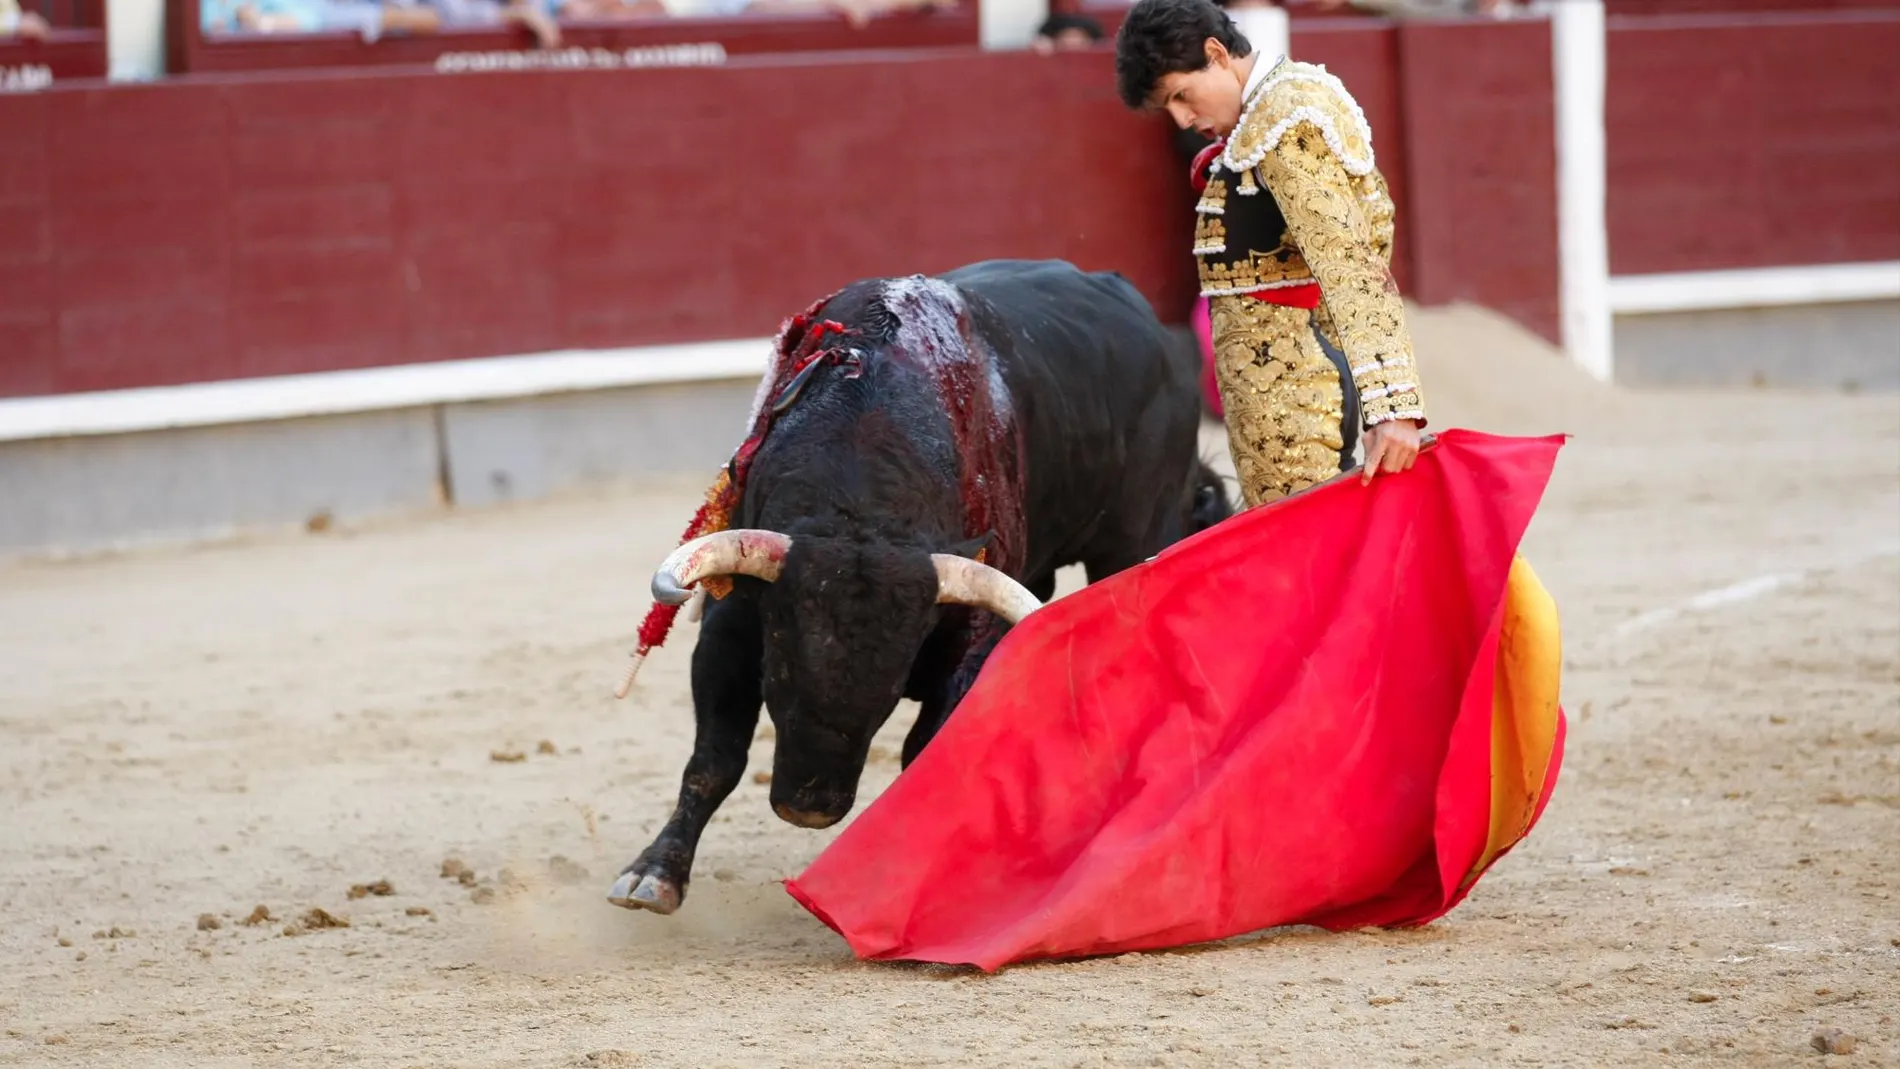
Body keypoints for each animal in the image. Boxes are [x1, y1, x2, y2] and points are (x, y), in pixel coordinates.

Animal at [608, 256, 1231, 911]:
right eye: (778, 673)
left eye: (888, 690)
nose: (809, 810)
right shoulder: (733, 625)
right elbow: (716, 757)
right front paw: (655, 874)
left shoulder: (970, 639)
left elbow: (922, 753)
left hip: (1137, 536)